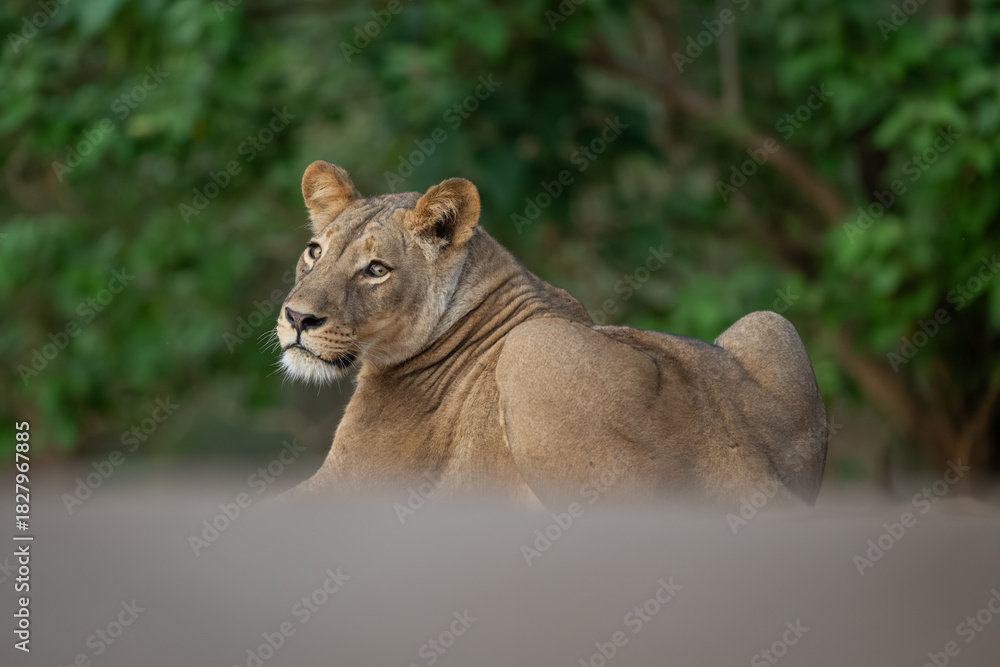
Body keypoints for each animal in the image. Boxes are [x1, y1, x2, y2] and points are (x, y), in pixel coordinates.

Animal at [275, 161, 828, 509]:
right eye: (315, 251)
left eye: (376, 270)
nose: (298, 318)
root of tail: (750, 471)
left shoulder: (354, 483)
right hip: (770, 325)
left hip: (534, 349)